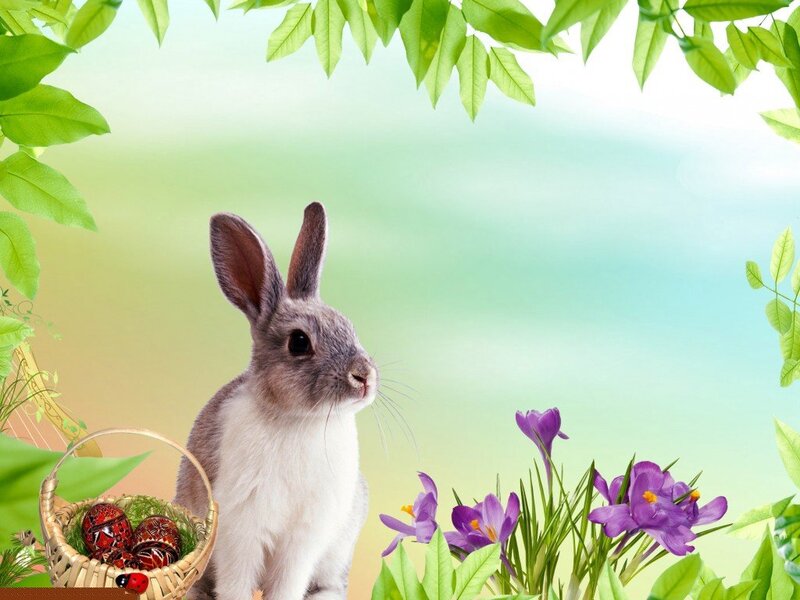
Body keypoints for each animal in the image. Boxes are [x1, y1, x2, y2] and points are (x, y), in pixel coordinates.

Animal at [174, 202, 378, 600]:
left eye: (350, 327)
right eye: (299, 342)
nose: (363, 376)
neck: (299, 420)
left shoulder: (303, 540)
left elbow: (288, 582)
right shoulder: (241, 527)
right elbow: (236, 582)